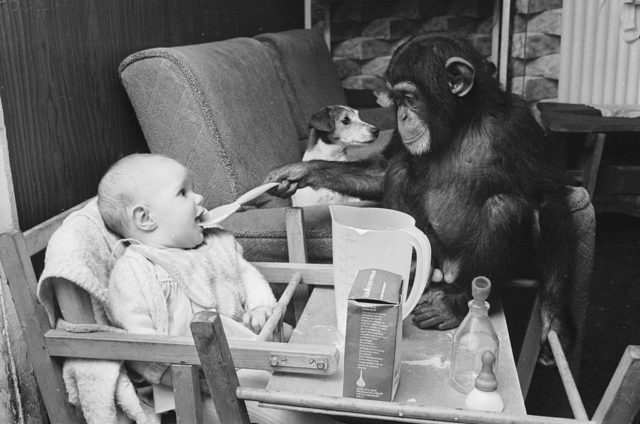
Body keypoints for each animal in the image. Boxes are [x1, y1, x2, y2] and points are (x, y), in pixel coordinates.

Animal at [264, 32, 576, 352]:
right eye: (397, 100)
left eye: (410, 98)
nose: (401, 117)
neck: (461, 122)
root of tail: (446, 271)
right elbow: (383, 170)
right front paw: (299, 170)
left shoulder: (520, 126)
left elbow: (549, 196)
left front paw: (554, 319)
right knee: (399, 173)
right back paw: (414, 270)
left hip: (467, 267)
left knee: (505, 207)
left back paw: (454, 302)